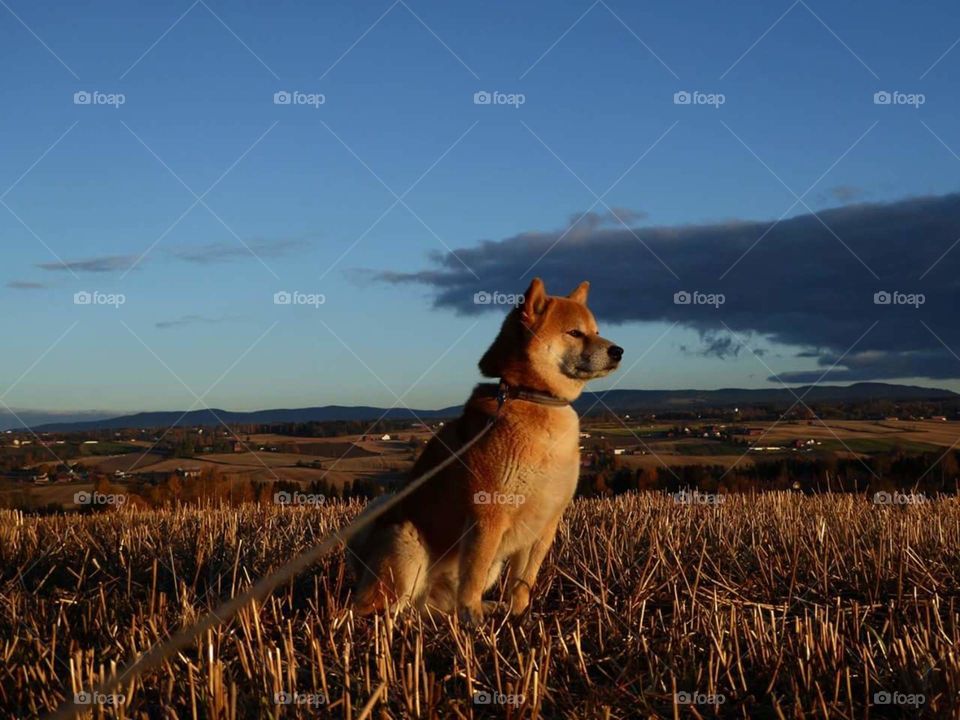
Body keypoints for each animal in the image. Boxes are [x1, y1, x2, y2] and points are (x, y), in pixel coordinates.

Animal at [344, 278, 624, 624]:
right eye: (574, 332)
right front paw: (474, 620)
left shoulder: (544, 523)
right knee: (375, 608)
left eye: (597, 331)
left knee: (432, 607)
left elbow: (524, 581)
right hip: (406, 544)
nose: (618, 350)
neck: (530, 397)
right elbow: (474, 576)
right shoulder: (488, 515)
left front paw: (518, 615)